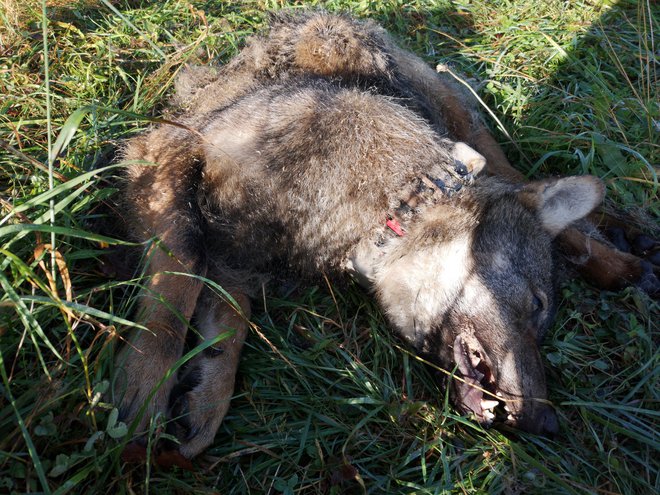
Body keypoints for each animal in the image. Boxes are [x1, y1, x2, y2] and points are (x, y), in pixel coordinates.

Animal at [112, 9, 648, 460]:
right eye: (537, 305)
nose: (547, 425)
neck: (387, 203)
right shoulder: (169, 161)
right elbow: (182, 288)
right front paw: (158, 381)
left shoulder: (234, 249)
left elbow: (224, 315)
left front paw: (196, 393)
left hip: (457, 118)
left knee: (520, 175)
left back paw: (622, 254)